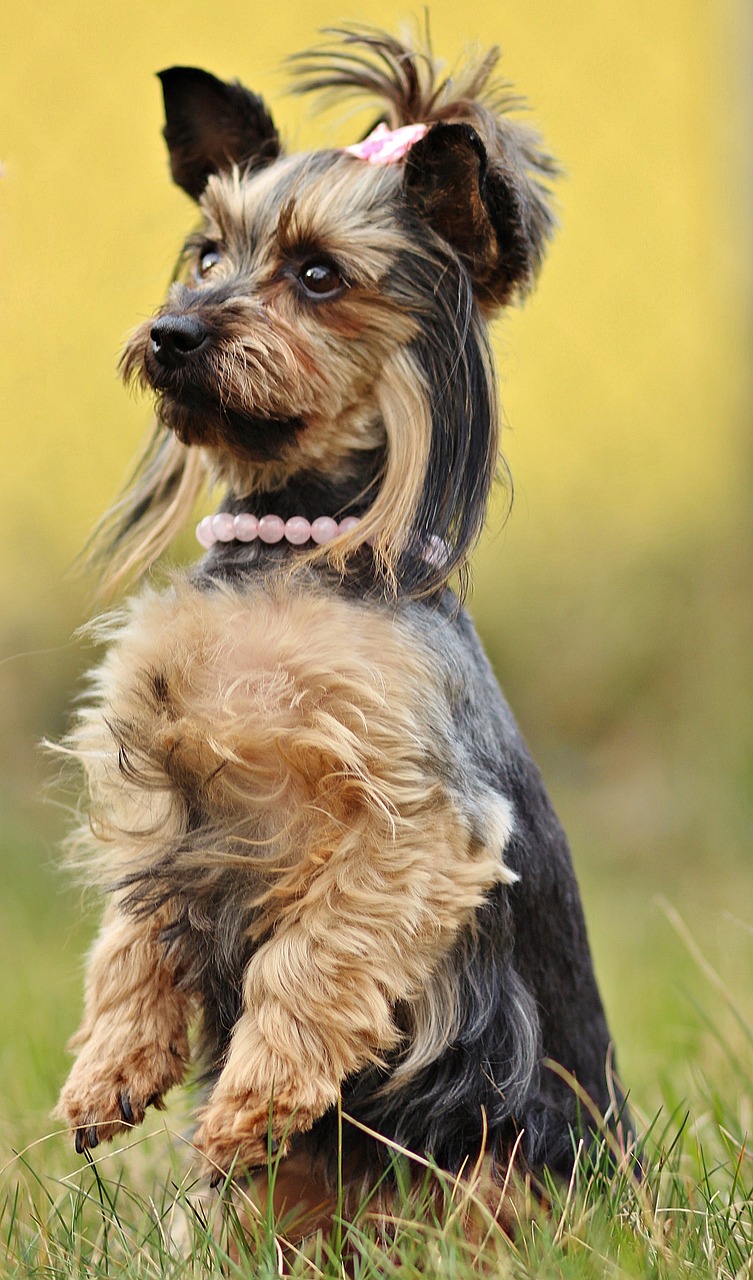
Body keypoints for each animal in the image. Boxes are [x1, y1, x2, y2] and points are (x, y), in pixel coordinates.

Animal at [54, 24, 630, 1203]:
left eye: (319, 276)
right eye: (207, 255)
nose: (172, 332)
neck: (291, 547)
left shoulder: (413, 829)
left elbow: (311, 955)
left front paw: (252, 1101)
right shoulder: (164, 792)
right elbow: (133, 934)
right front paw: (107, 1073)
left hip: (506, 1160)